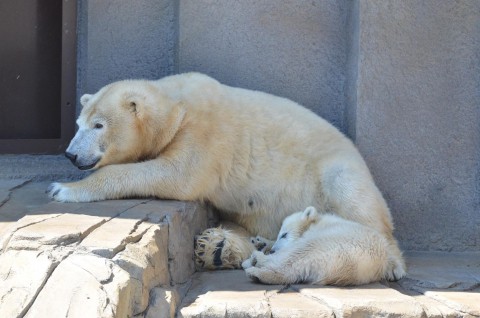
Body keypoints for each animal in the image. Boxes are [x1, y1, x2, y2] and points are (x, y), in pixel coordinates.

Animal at [48, 72, 406, 280]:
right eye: (79, 123)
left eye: (99, 125)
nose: (71, 154)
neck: (176, 106)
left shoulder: (205, 133)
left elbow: (175, 175)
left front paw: (62, 188)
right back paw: (221, 248)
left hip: (337, 169)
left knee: (361, 212)